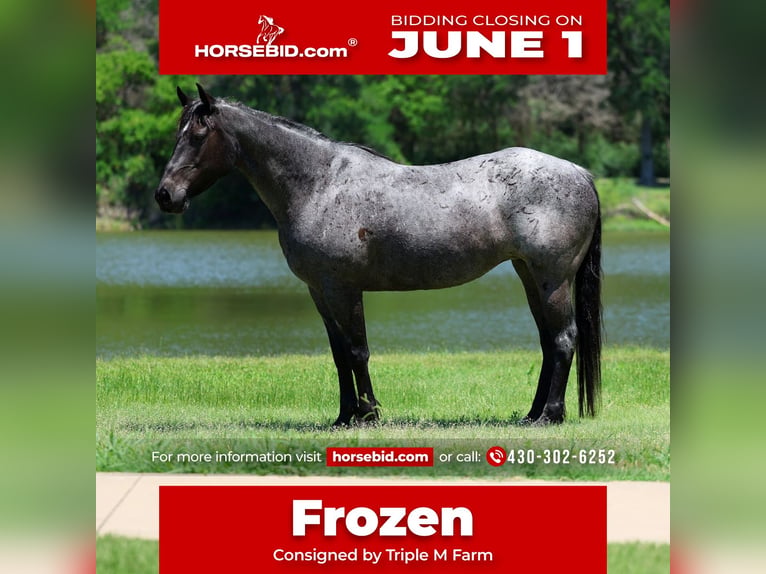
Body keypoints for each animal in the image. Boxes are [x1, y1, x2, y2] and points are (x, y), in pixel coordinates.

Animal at [156, 84, 603, 426]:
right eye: (177, 133)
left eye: (198, 136)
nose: (165, 195)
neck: (320, 184)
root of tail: (580, 173)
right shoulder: (320, 291)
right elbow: (339, 354)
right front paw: (344, 416)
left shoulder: (344, 288)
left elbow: (358, 350)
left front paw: (368, 414)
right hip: (529, 275)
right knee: (548, 342)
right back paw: (532, 413)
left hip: (553, 279)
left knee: (563, 339)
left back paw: (551, 415)